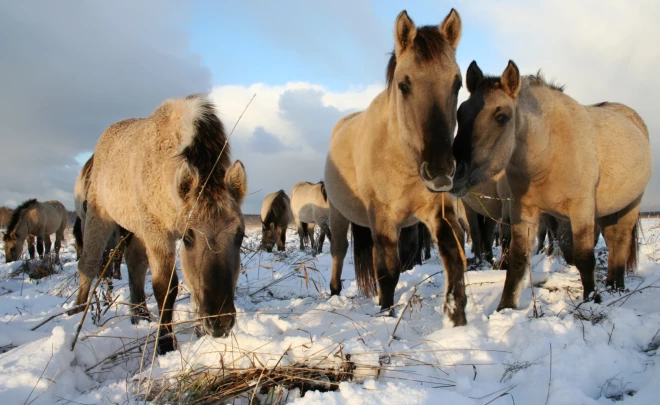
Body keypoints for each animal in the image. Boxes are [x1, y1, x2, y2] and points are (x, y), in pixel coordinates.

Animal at [68, 93, 248, 352]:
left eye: (239, 235)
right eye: (188, 237)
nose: (220, 322)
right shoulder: (158, 232)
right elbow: (165, 288)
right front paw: (164, 342)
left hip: (134, 229)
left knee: (135, 266)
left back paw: (140, 315)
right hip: (97, 216)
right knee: (88, 265)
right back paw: (77, 314)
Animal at [324, 9, 470, 324]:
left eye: (457, 84)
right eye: (404, 85)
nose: (440, 171)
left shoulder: (436, 211)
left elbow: (453, 252)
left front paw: (456, 315)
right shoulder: (383, 217)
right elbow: (388, 271)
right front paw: (385, 314)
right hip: (338, 214)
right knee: (339, 252)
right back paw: (334, 293)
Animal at [452, 59, 652, 310]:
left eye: (502, 117)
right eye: (460, 113)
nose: (456, 173)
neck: (548, 152)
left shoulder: (581, 211)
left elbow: (584, 257)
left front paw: (591, 301)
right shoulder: (523, 211)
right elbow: (517, 258)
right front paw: (505, 306)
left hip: (631, 205)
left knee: (621, 241)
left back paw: (618, 287)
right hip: (608, 211)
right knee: (614, 241)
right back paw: (610, 284)